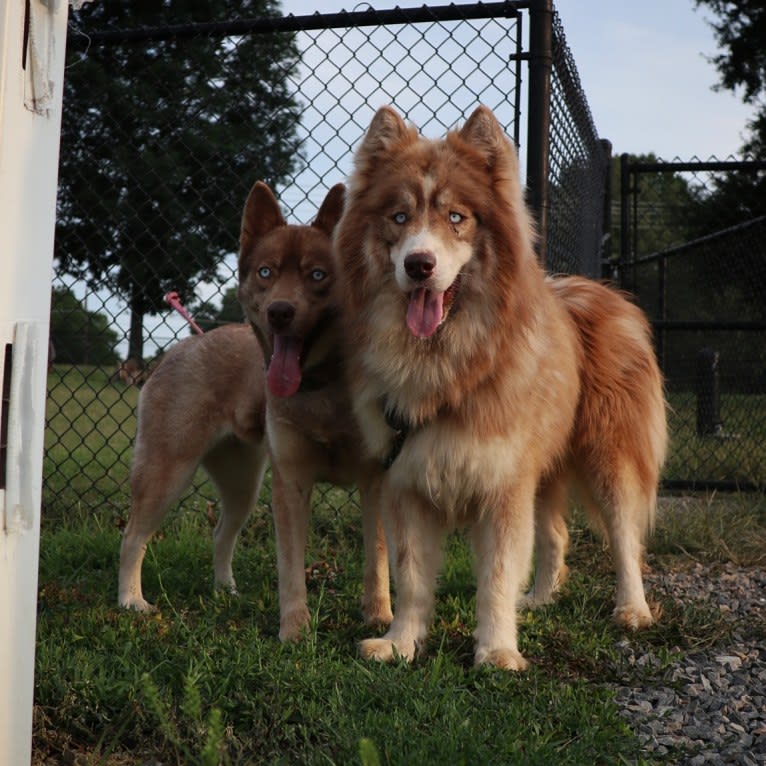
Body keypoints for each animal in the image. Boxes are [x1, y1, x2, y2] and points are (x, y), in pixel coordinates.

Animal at [120, 182, 396, 640]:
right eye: (266, 272)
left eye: (318, 275)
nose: (279, 312)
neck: (325, 385)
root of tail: (185, 344)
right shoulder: (291, 485)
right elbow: (291, 569)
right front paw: (295, 631)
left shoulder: (376, 482)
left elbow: (377, 560)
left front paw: (379, 618)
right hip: (166, 471)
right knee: (132, 535)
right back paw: (130, 600)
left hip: (242, 485)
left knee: (219, 533)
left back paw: (225, 589)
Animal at [336, 105, 664, 668]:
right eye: (399, 217)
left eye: (456, 217)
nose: (418, 265)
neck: (446, 363)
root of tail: (596, 292)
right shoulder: (406, 479)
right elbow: (411, 576)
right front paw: (401, 643)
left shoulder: (502, 483)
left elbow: (494, 578)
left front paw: (496, 651)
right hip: (545, 466)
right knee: (555, 535)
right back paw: (539, 598)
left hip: (609, 455)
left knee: (624, 538)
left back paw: (632, 609)